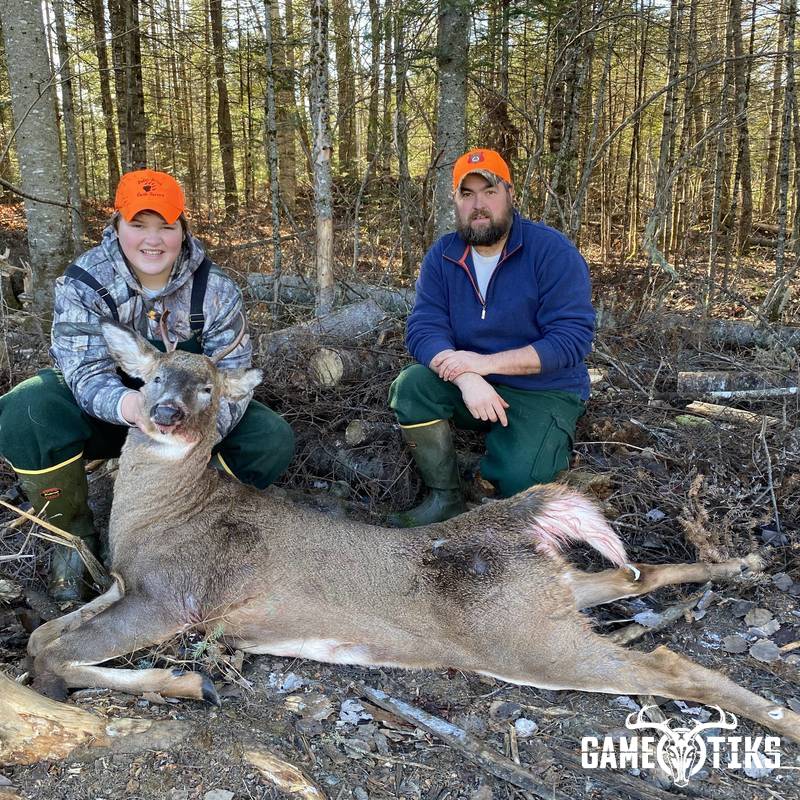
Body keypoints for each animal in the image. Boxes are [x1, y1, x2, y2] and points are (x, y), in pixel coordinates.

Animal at [26, 319, 800, 746]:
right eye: (154, 374)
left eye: (208, 388)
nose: (163, 412)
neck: (161, 513)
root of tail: (518, 521)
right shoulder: (125, 583)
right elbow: (43, 636)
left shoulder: (178, 594)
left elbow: (56, 657)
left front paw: (188, 685)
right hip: (548, 598)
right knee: (639, 575)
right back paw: (742, 564)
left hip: (520, 635)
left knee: (669, 663)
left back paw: (782, 718)